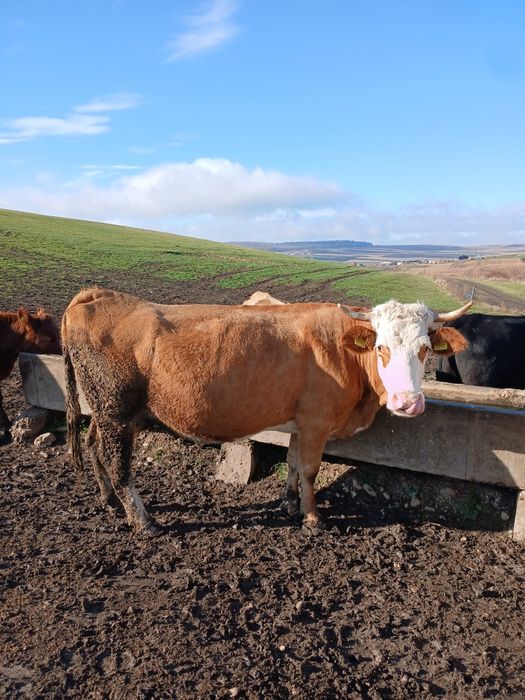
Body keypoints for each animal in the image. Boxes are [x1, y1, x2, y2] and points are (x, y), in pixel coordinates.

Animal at [62, 287, 471, 535]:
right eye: (381, 346)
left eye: (425, 349)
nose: (408, 402)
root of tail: (98, 296)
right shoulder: (317, 422)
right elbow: (309, 470)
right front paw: (311, 516)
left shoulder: (300, 422)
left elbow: (291, 462)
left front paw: (290, 503)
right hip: (116, 411)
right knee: (119, 465)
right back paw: (143, 521)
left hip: (103, 410)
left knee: (94, 444)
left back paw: (109, 501)